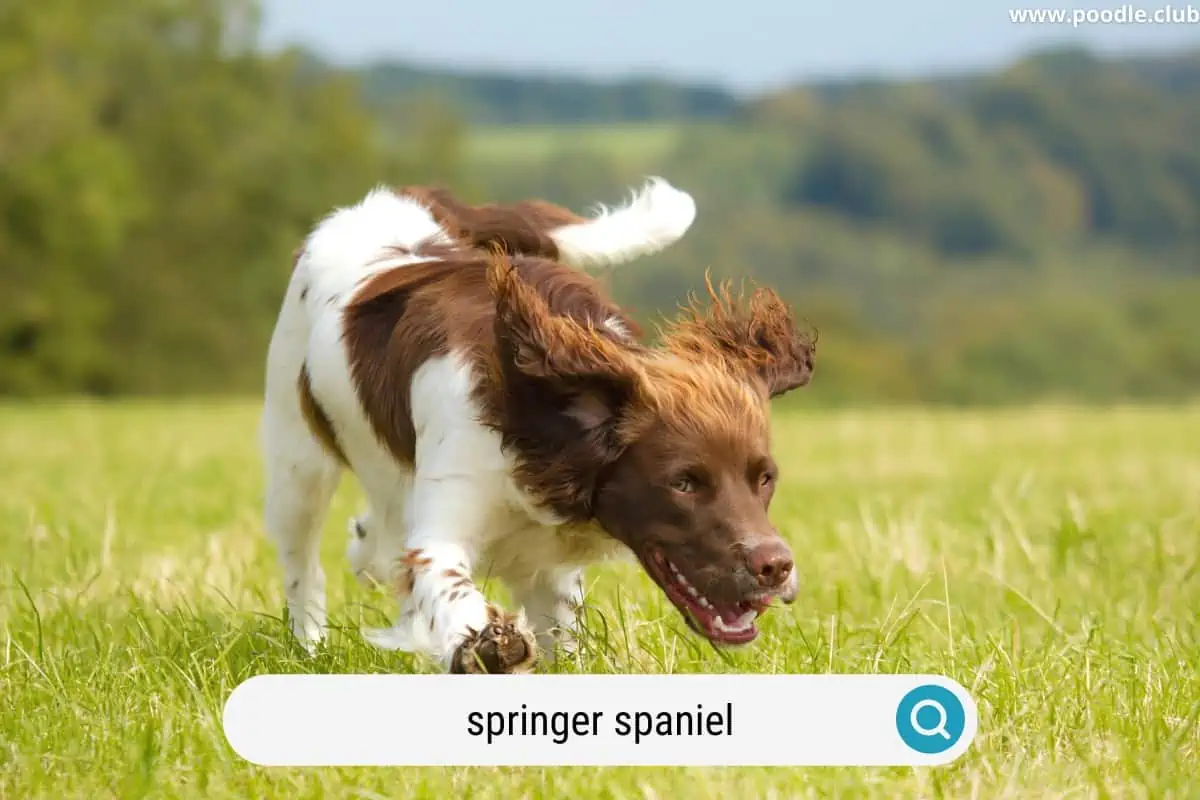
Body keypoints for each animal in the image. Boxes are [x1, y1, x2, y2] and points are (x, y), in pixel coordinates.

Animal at [262, 178, 816, 671]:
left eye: (765, 479)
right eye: (683, 483)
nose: (775, 567)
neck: (540, 424)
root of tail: (403, 196)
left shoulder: (548, 566)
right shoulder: (444, 526)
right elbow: (447, 586)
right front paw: (485, 646)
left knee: (375, 540)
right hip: (295, 466)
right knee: (304, 566)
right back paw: (310, 648)